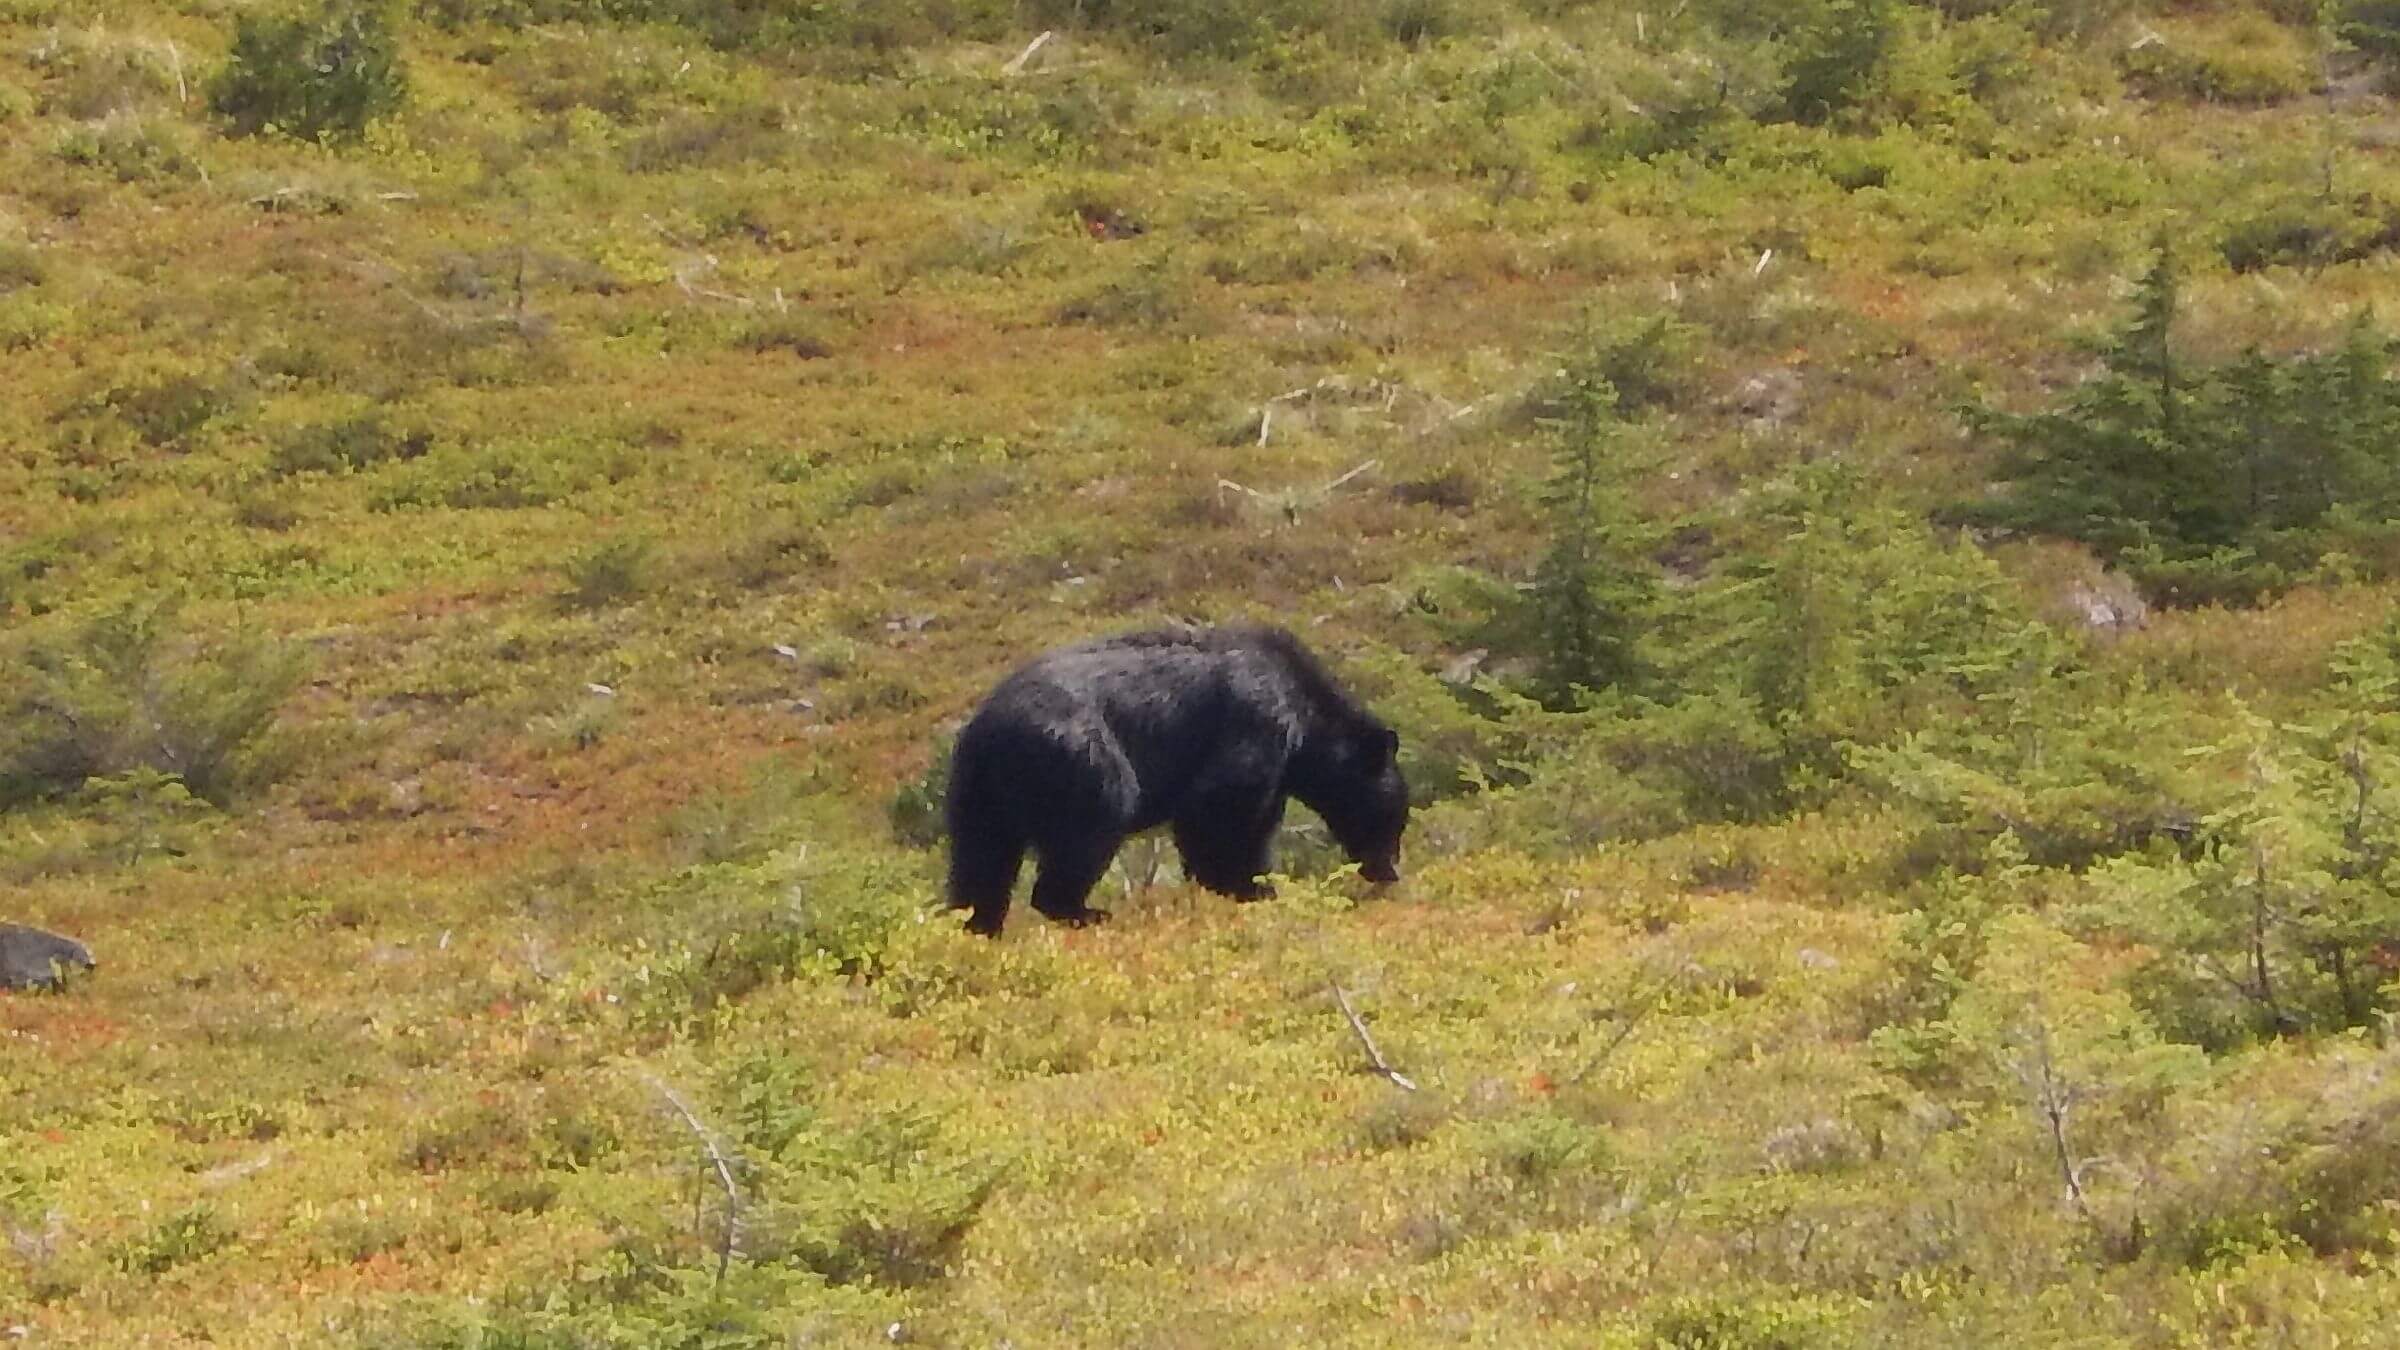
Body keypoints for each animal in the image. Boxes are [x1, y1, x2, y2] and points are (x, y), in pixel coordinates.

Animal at [945, 624, 1411, 932]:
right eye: (1395, 819)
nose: (1389, 871)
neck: (1306, 717)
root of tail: (989, 730)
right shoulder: (1255, 722)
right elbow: (1219, 804)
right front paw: (1236, 884)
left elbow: (1258, 823)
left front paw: (1259, 882)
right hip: (1078, 759)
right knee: (1088, 828)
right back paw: (1082, 910)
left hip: (978, 793)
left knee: (981, 857)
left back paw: (976, 924)